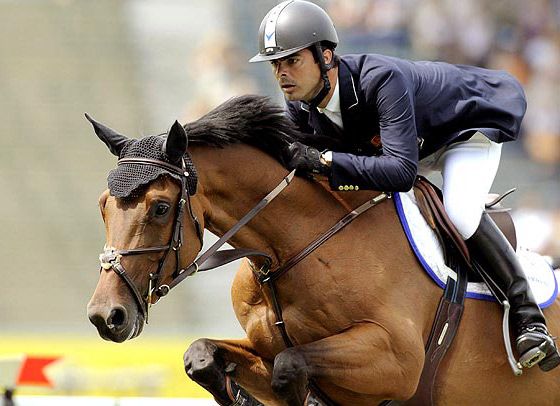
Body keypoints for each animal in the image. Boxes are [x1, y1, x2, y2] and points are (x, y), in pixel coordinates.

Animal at [86, 96, 560, 406]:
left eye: (161, 207)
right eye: (103, 206)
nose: (106, 317)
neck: (288, 250)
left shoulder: (396, 360)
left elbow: (290, 366)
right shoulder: (261, 348)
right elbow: (202, 355)